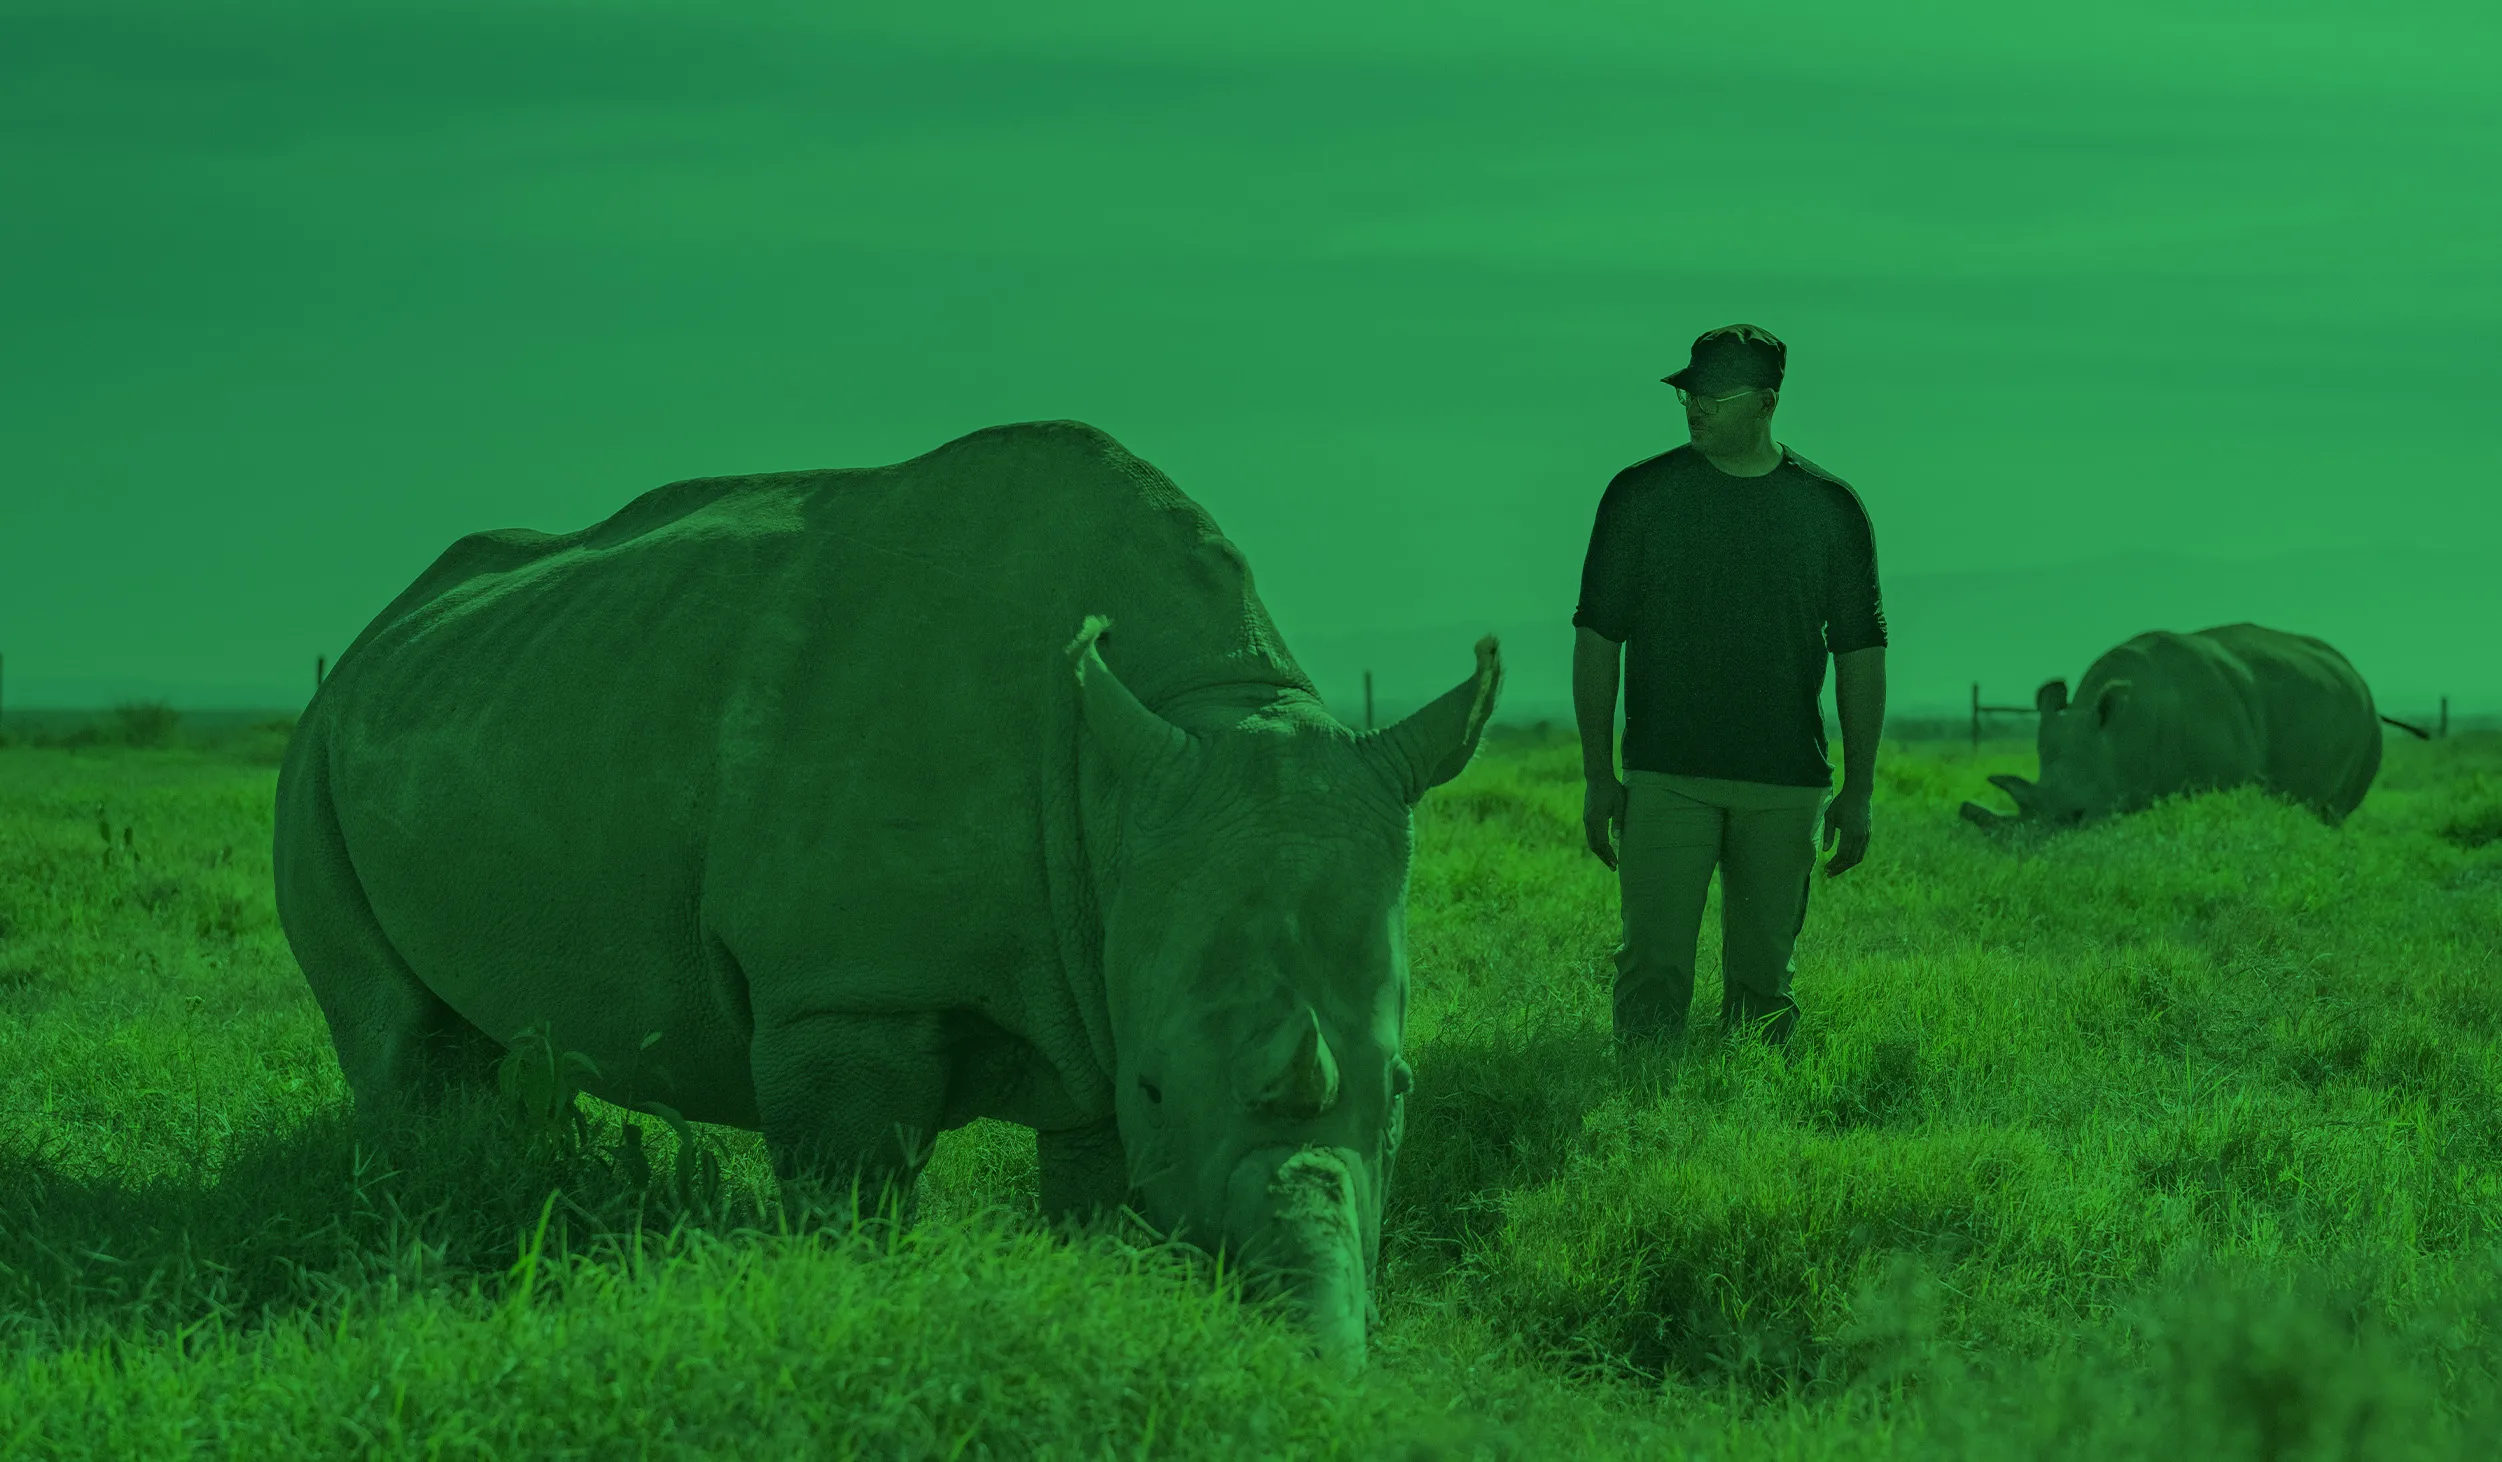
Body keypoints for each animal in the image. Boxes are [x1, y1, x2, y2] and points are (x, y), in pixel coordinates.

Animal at [271, 419, 1502, 1366]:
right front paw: (846, 1319)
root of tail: (382, 624)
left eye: (1401, 1090)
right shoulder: (846, 992)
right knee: (394, 1037)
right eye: (1158, 1089)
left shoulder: (1104, 984)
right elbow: (852, 1204)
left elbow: (1100, 1211)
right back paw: (413, 1240)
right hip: (317, 745)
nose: (1315, 1355)